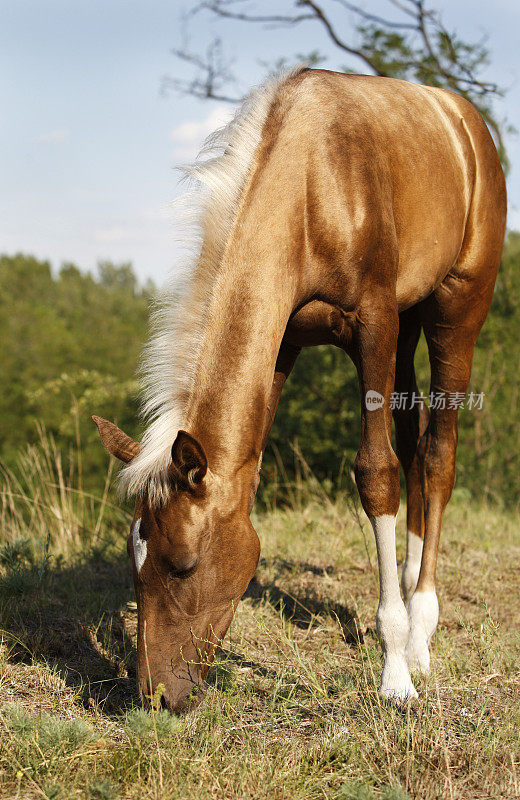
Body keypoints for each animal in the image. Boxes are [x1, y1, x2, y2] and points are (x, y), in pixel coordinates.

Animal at [92, 65, 504, 708]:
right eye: (133, 560)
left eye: (183, 563)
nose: (154, 695)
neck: (311, 186)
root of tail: (467, 123)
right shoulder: (285, 341)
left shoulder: (375, 326)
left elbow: (376, 473)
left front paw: (395, 673)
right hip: (411, 321)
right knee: (415, 443)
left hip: (455, 314)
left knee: (437, 455)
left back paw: (420, 633)